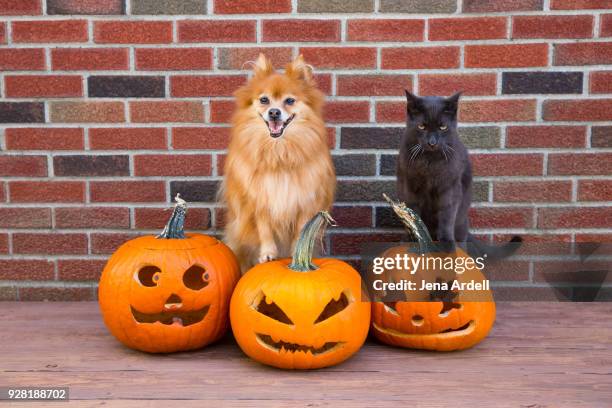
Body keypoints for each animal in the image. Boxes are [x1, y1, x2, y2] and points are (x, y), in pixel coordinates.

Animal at [220, 53, 334, 270]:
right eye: (264, 100)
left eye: (289, 101)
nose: (274, 112)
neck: (279, 151)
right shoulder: (259, 200)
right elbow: (264, 229)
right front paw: (268, 254)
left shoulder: (304, 202)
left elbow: (301, 231)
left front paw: (297, 255)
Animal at [394, 92, 520, 256]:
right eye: (422, 126)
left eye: (443, 127)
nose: (432, 142)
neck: (430, 163)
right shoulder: (410, 188)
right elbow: (413, 215)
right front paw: (414, 239)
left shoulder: (450, 189)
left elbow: (447, 216)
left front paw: (447, 243)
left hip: (460, 224)